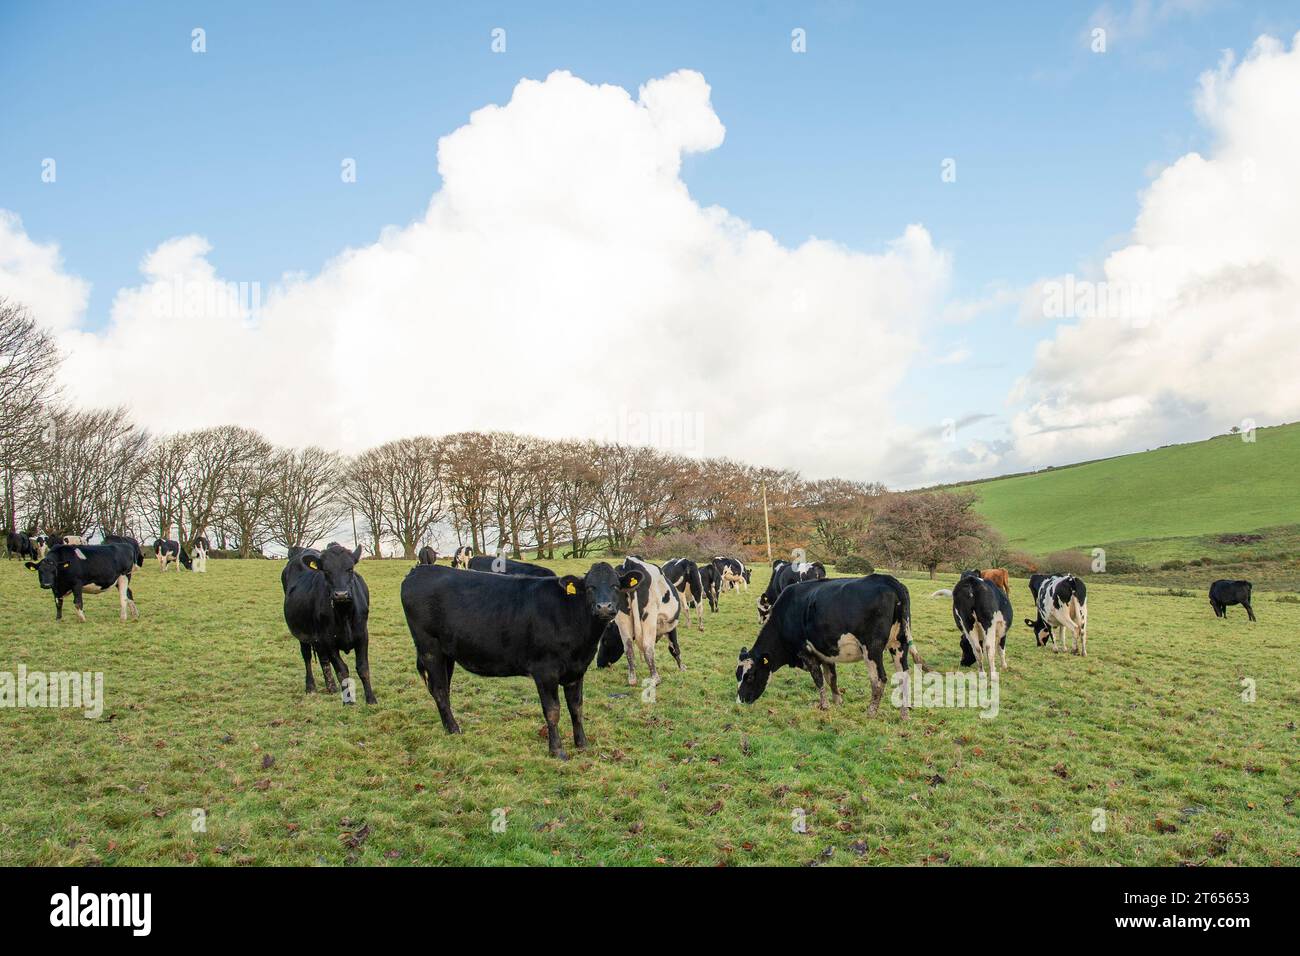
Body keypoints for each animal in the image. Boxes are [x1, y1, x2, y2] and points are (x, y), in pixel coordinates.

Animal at [279, 541, 371, 707]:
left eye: (350, 569)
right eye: (326, 571)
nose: (341, 594)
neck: (344, 613)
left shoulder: (362, 635)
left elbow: (363, 668)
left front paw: (371, 700)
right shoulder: (328, 640)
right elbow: (342, 670)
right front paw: (348, 702)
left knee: (323, 659)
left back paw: (331, 687)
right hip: (304, 634)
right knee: (307, 656)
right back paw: (311, 687)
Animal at [397, 564, 637, 759]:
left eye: (616, 585)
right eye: (589, 587)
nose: (604, 607)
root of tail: (418, 571)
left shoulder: (576, 670)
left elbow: (576, 708)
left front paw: (582, 744)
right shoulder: (545, 671)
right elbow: (553, 710)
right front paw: (557, 750)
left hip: (447, 653)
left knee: (442, 689)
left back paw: (449, 727)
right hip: (430, 649)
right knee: (439, 690)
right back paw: (454, 729)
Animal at [733, 572, 925, 712]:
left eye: (750, 676)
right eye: (737, 675)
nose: (740, 701)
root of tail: (889, 580)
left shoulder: (805, 652)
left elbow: (818, 679)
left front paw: (824, 705)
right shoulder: (826, 652)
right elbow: (831, 678)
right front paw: (838, 702)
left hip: (872, 648)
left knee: (879, 678)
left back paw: (871, 711)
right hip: (899, 644)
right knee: (903, 675)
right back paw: (905, 712)